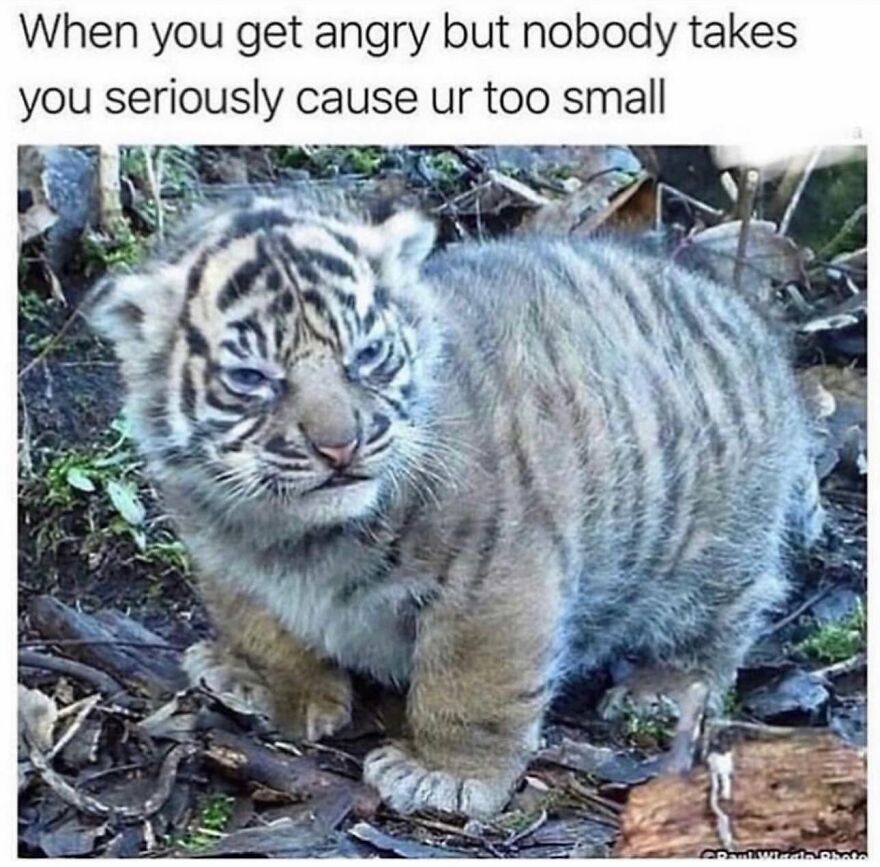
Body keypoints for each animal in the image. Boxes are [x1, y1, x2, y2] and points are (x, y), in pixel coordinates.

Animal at [86, 193, 823, 818]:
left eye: (367, 355)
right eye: (252, 378)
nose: (340, 445)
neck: (289, 534)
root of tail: (757, 333)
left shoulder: (491, 581)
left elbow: (470, 681)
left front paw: (447, 776)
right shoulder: (226, 562)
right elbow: (265, 629)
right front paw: (266, 683)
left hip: (713, 547)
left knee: (728, 616)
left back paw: (663, 688)